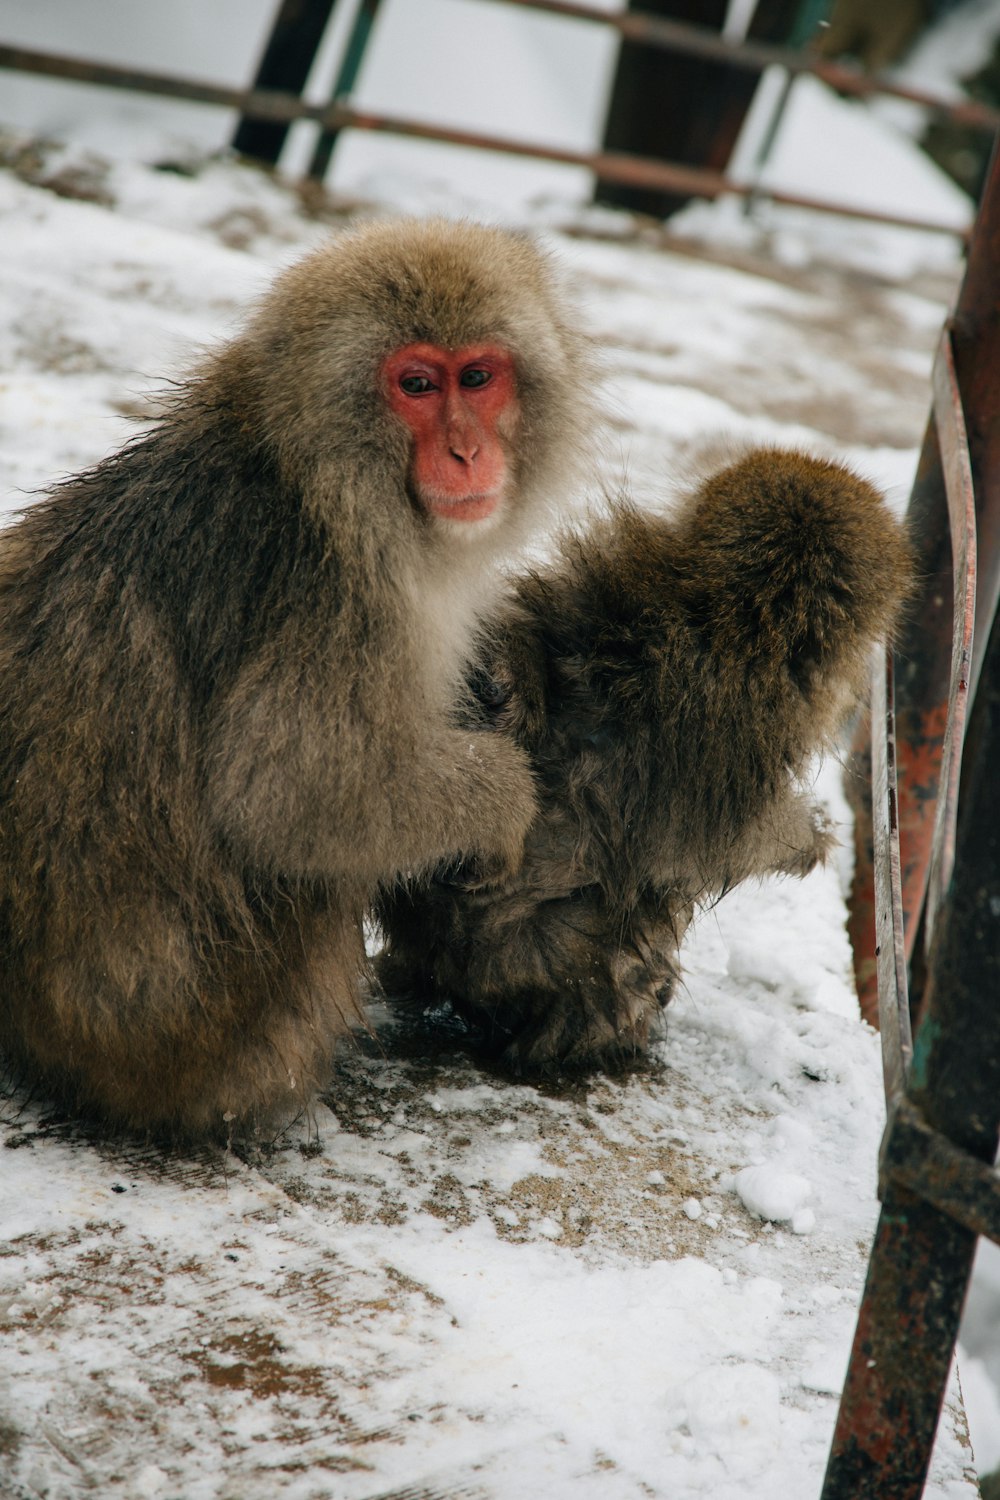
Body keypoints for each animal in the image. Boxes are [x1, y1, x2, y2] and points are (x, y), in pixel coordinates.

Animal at [0, 217, 593, 1128]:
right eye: (416, 384)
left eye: (479, 377)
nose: (466, 451)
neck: (316, 474)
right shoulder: (336, 600)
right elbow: (289, 797)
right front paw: (503, 802)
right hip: (205, 1036)